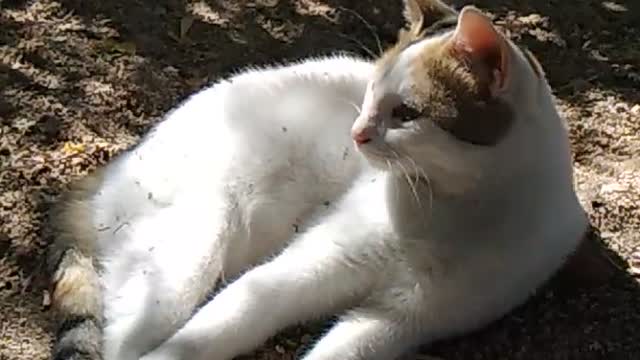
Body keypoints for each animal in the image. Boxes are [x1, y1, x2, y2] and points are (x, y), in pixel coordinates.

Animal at [48, 0, 592, 360]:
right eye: (370, 93)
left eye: (406, 113)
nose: (357, 133)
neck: (454, 206)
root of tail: (114, 165)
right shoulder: (318, 260)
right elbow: (229, 319)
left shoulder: (402, 318)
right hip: (183, 258)